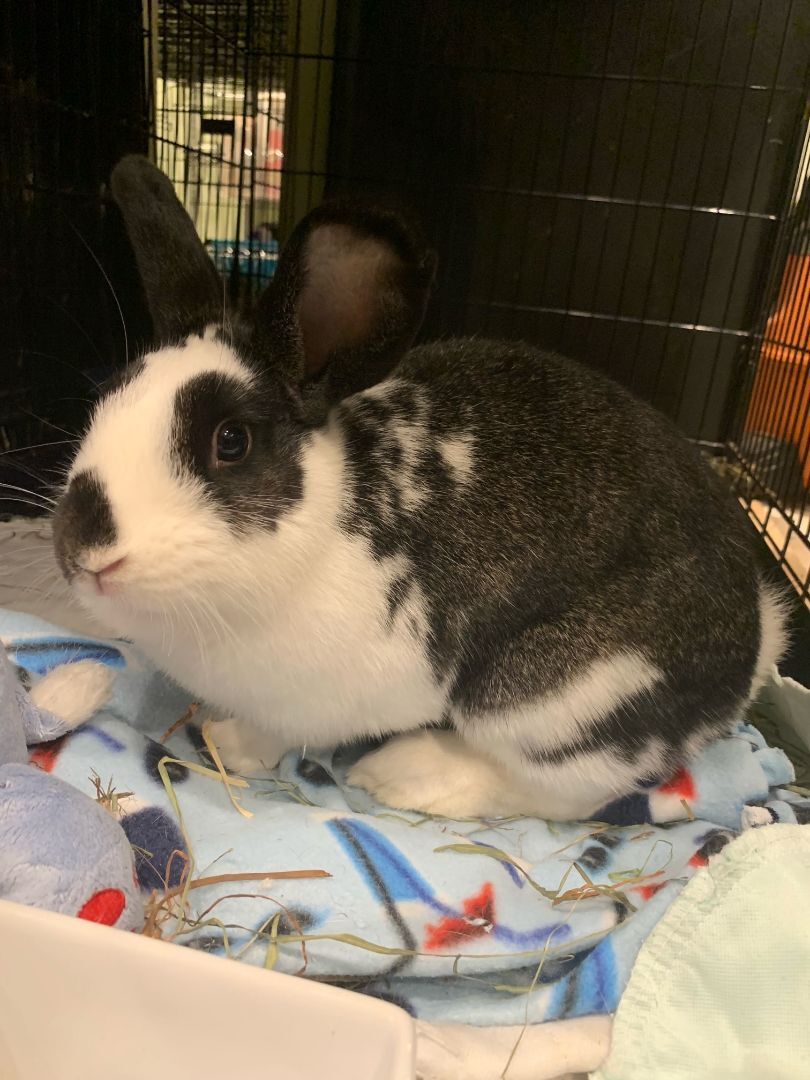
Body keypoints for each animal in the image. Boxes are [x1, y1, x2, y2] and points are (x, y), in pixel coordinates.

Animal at [52, 155, 787, 821]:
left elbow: (279, 731)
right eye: (107, 396)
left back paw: (405, 777)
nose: (82, 548)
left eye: (230, 442)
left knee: (561, 796)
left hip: (552, 701)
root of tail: (753, 645)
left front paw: (227, 743)